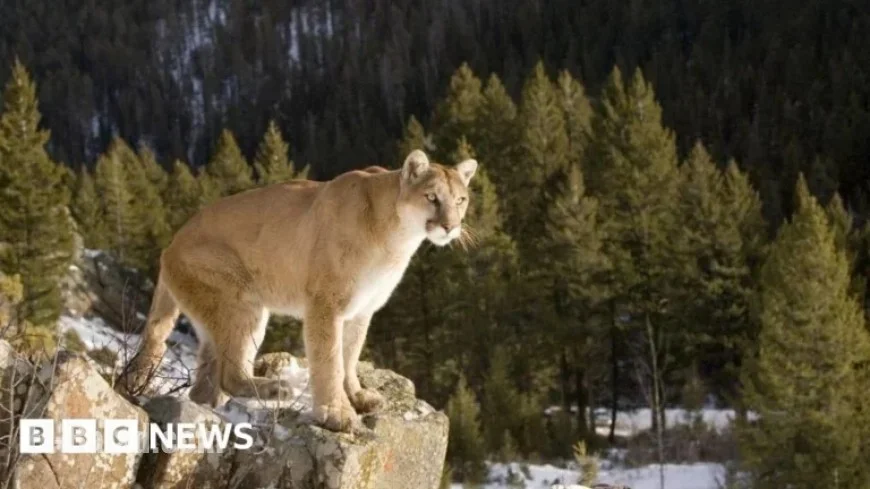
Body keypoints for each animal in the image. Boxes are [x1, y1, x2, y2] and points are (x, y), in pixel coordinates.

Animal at [120, 149, 477, 431]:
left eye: (461, 200)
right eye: (432, 197)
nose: (451, 226)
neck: (397, 236)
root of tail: (170, 244)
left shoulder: (361, 309)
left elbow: (350, 355)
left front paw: (356, 396)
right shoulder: (326, 304)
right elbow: (329, 358)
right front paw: (335, 413)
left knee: (206, 382)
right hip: (242, 300)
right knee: (229, 374)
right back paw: (272, 389)